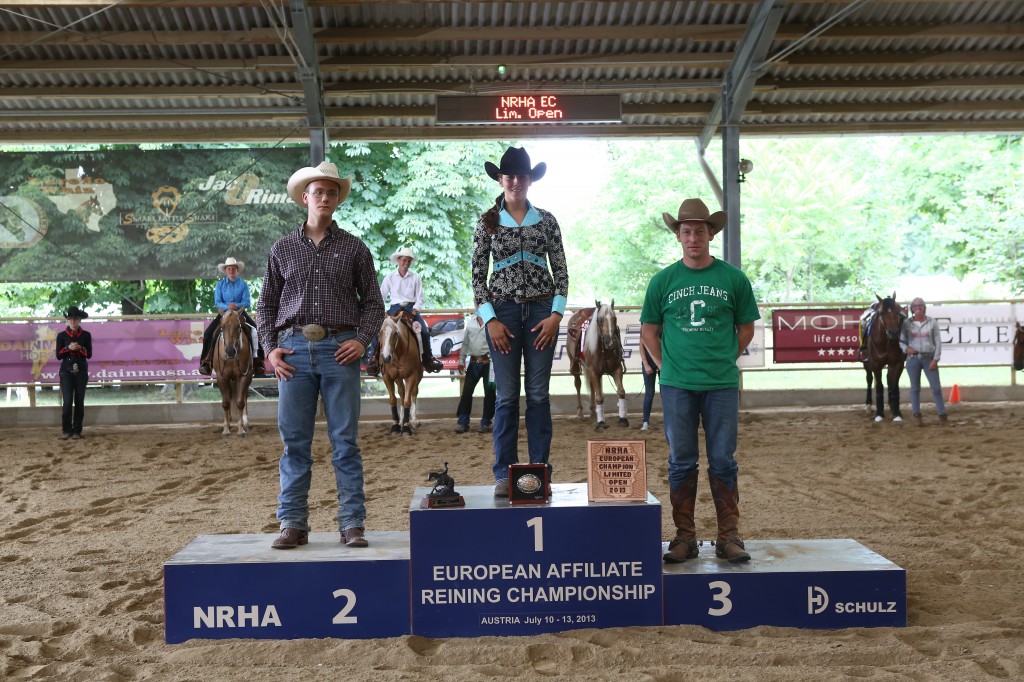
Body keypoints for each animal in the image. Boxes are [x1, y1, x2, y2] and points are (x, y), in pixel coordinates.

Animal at [565, 299, 626, 428]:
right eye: (600, 319)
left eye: (614, 318)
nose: (610, 342)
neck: (605, 351)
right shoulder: (594, 371)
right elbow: (599, 397)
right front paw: (601, 422)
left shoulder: (616, 369)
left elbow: (621, 392)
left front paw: (623, 419)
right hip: (575, 365)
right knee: (577, 383)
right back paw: (580, 412)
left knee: (592, 386)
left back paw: (593, 411)